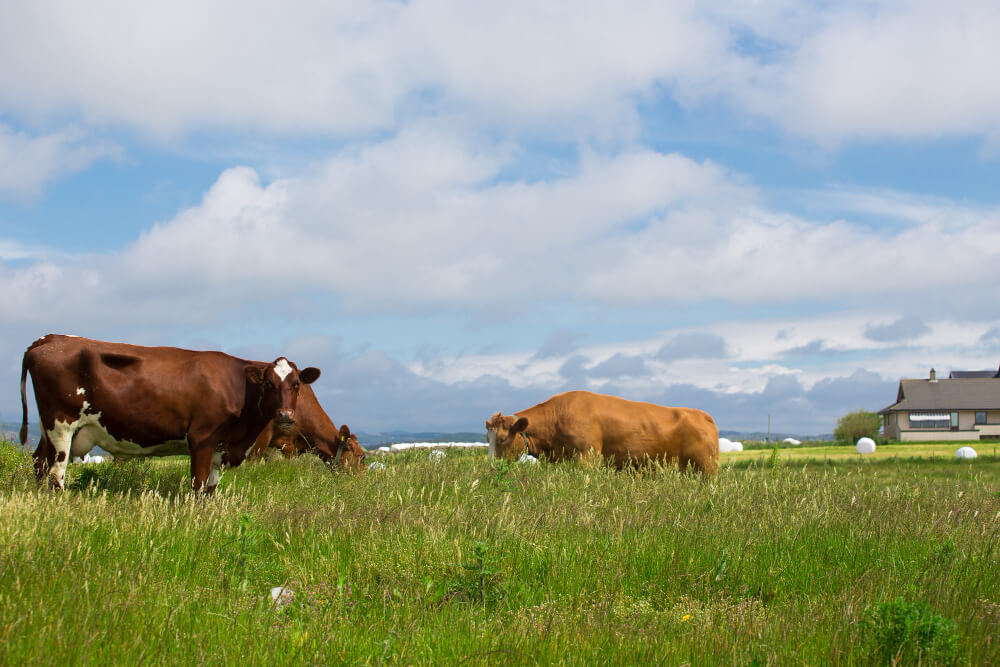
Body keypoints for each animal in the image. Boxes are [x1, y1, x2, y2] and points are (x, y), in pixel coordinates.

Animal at [19, 336, 320, 494]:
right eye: (268, 384)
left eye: (296, 385)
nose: (285, 414)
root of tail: (50, 339)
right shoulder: (201, 440)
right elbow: (197, 487)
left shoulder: (220, 447)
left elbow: (210, 490)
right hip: (62, 426)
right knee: (55, 474)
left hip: (49, 429)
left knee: (39, 462)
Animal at [484, 388, 720, 478]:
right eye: (488, 439)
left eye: (502, 439)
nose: (493, 468)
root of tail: (702, 414)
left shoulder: (587, 457)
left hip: (706, 469)